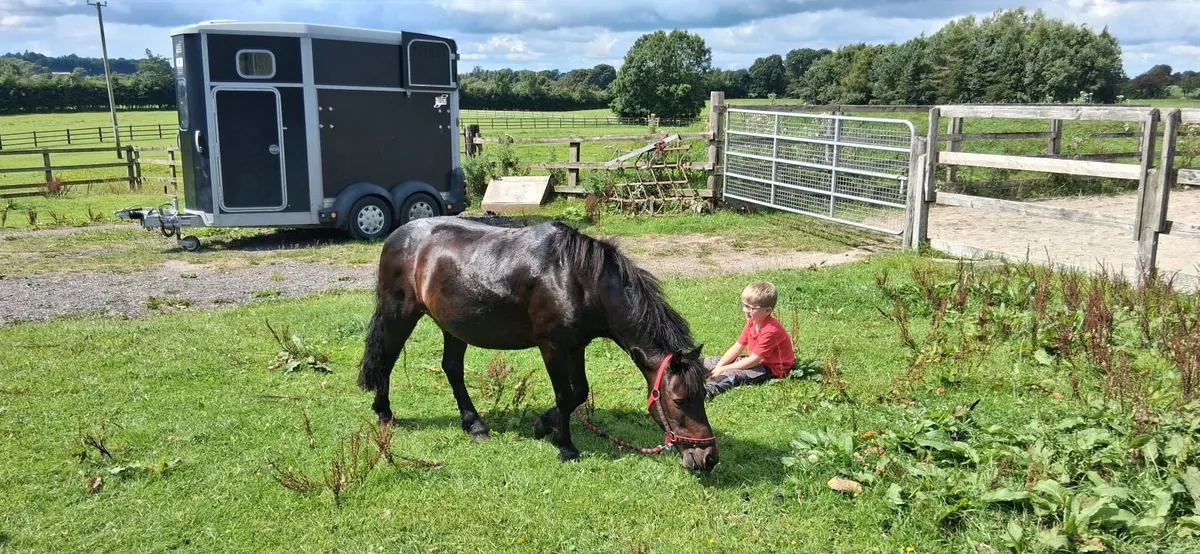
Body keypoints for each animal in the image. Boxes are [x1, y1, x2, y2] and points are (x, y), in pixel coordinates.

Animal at [357, 216, 719, 472]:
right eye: (680, 399)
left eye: (703, 396)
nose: (708, 458)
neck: (580, 280)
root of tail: (397, 236)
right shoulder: (552, 347)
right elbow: (565, 396)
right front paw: (566, 447)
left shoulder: (576, 346)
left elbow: (579, 393)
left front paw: (544, 425)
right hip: (399, 315)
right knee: (386, 360)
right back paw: (384, 413)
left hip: (453, 328)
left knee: (452, 369)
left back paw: (475, 425)